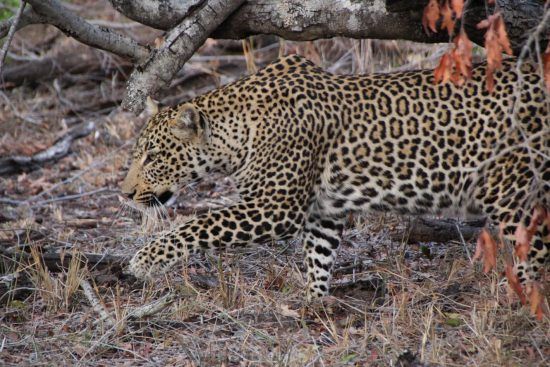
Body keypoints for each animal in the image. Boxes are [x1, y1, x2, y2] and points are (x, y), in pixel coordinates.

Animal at [123, 55, 548, 302]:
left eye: (153, 157)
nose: (125, 194)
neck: (237, 131)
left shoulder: (273, 209)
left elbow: (196, 226)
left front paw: (144, 260)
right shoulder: (323, 212)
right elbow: (319, 254)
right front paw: (314, 302)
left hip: (512, 190)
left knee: (535, 248)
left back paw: (522, 300)